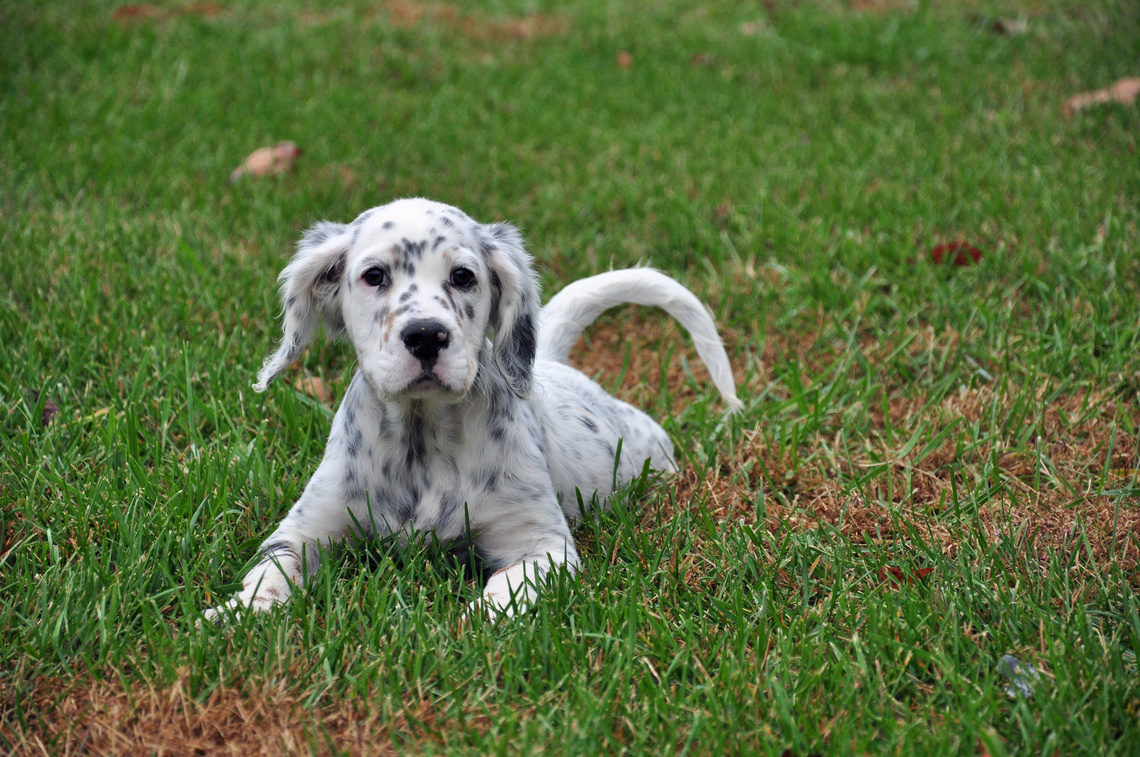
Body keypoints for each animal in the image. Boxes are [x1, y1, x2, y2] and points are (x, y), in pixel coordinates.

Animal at [202, 196, 738, 620]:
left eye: (463, 277)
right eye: (374, 276)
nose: (425, 335)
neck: (422, 438)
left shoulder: (542, 545)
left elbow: (506, 588)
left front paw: (476, 622)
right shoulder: (306, 527)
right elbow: (272, 573)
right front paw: (234, 615)